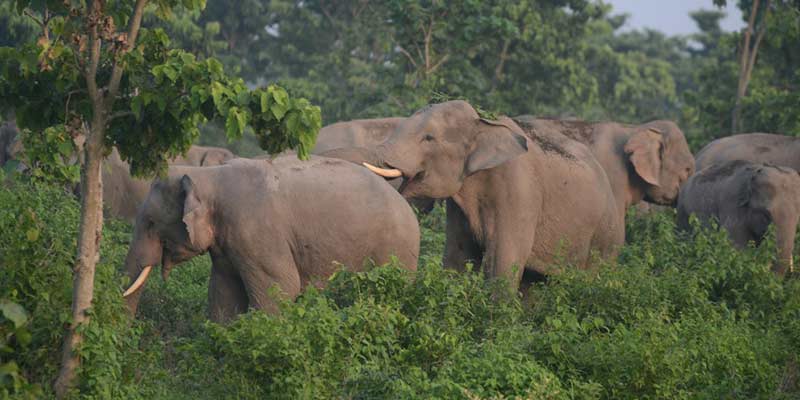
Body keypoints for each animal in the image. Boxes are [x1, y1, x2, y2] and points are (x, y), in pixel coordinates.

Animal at [122, 155, 420, 322]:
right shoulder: (227, 243)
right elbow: (223, 294)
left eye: (151, 223)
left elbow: (281, 288)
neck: (208, 176)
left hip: (396, 251)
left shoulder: (257, 231)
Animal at [359, 101, 623, 288]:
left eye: (428, 138)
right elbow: (458, 256)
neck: (482, 122)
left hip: (605, 236)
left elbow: (503, 261)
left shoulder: (520, 192)